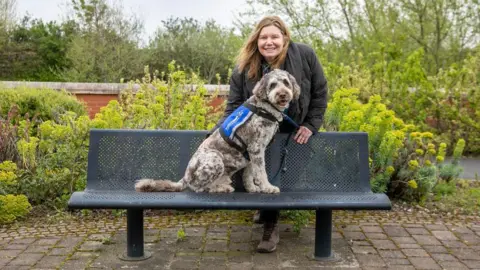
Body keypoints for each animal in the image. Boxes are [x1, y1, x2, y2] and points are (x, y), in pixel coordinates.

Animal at [135, 68, 300, 193]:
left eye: (286, 82)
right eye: (272, 85)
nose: (282, 94)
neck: (265, 107)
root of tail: (185, 177)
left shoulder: (251, 153)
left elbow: (249, 173)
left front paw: (252, 188)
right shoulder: (256, 147)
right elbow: (261, 172)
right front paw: (268, 188)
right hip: (215, 159)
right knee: (199, 188)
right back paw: (220, 188)